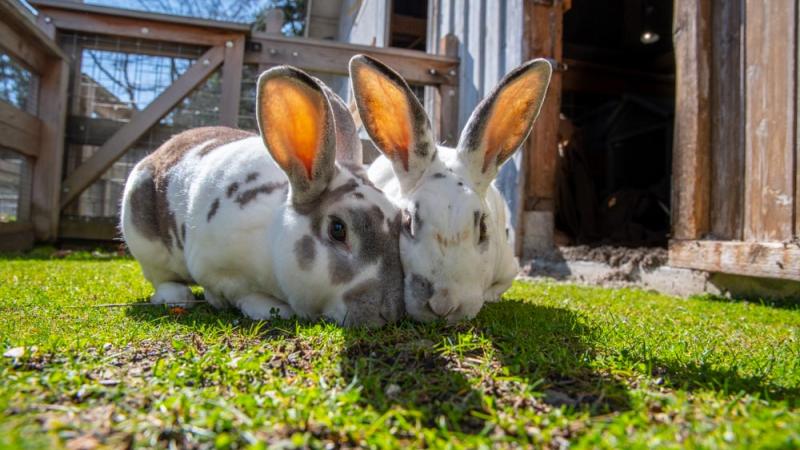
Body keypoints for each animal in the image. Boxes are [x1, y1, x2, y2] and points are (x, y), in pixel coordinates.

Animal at [120, 65, 406, 326]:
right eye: (338, 229)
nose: (388, 313)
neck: (270, 239)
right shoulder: (219, 271)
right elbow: (244, 295)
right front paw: (271, 309)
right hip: (144, 241)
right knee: (161, 278)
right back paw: (178, 296)